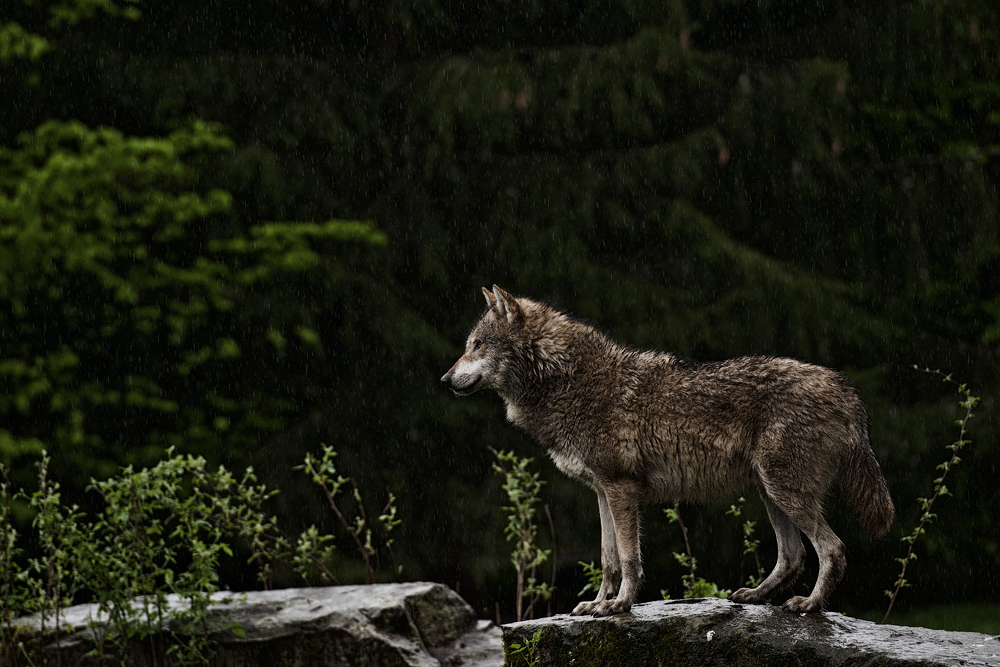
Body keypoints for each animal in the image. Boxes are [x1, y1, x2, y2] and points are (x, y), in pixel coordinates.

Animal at [442, 284, 896, 620]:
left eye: (477, 345)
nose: (445, 379)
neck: (566, 381)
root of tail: (846, 389)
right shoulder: (602, 492)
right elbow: (607, 557)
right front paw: (597, 603)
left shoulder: (621, 489)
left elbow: (628, 558)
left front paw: (620, 605)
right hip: (771, 494)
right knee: (793, 554)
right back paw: (754, 596)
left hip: (785, 492)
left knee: (832, 549)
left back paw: (810, 605)